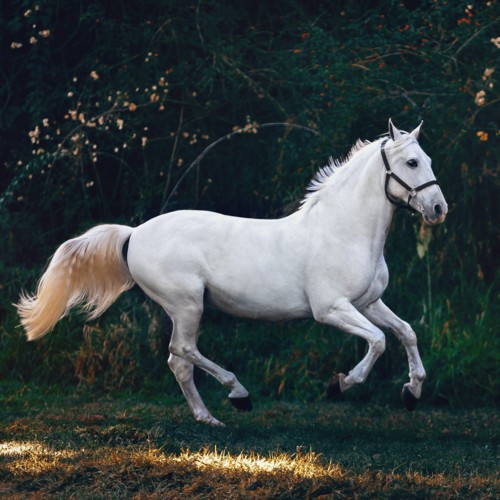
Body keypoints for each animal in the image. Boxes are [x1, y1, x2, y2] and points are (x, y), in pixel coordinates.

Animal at [16, 119, 446, 424]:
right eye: (411, 162)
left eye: (428, 160)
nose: (439, 209)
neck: (344, 230)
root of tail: (134, 234)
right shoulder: (332, 309)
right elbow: (378, 341)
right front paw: (339, 385)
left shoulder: (368, 303)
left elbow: (406, 332)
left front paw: (412, 392)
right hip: (187, 304)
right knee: (183, 351)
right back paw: (238, 395)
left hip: (185, 308)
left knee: (178, 362)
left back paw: (208, 418)